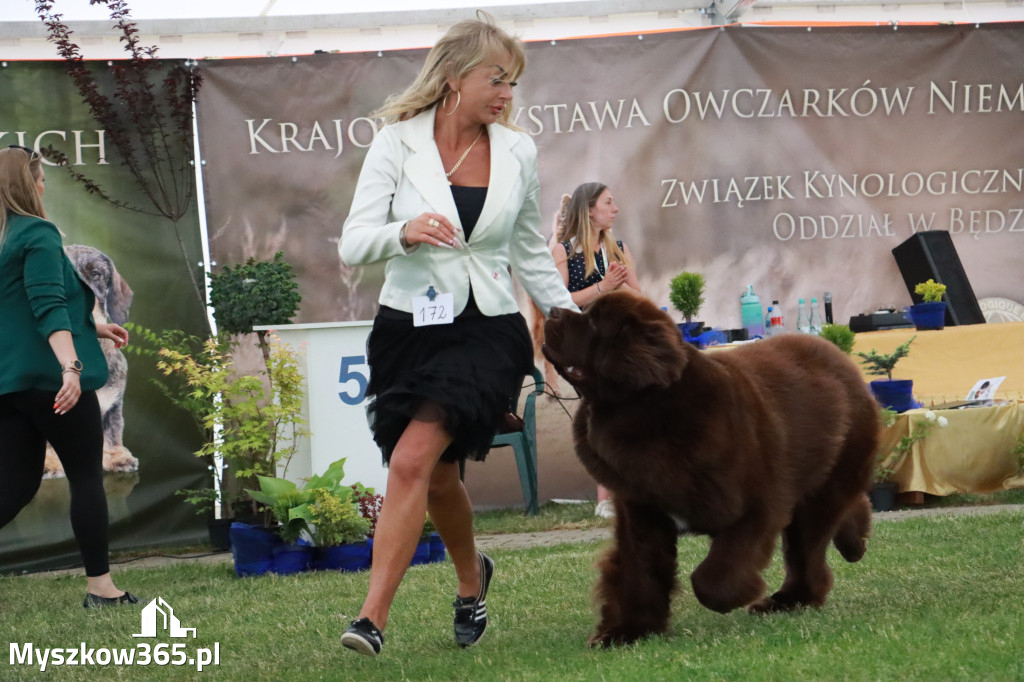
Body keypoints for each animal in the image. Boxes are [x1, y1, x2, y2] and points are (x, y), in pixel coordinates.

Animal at [544, 288, 880, 647]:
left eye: (594, 321)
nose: (551, 311)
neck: (650, 414)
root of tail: (840, 358)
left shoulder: (758, 506)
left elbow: (711, 580)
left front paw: (735, 596)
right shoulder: (641, 511)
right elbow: (638, 574)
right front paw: (627, 632)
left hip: (827, 480)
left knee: (810, 546)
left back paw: (791, 599)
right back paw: (853, 544)